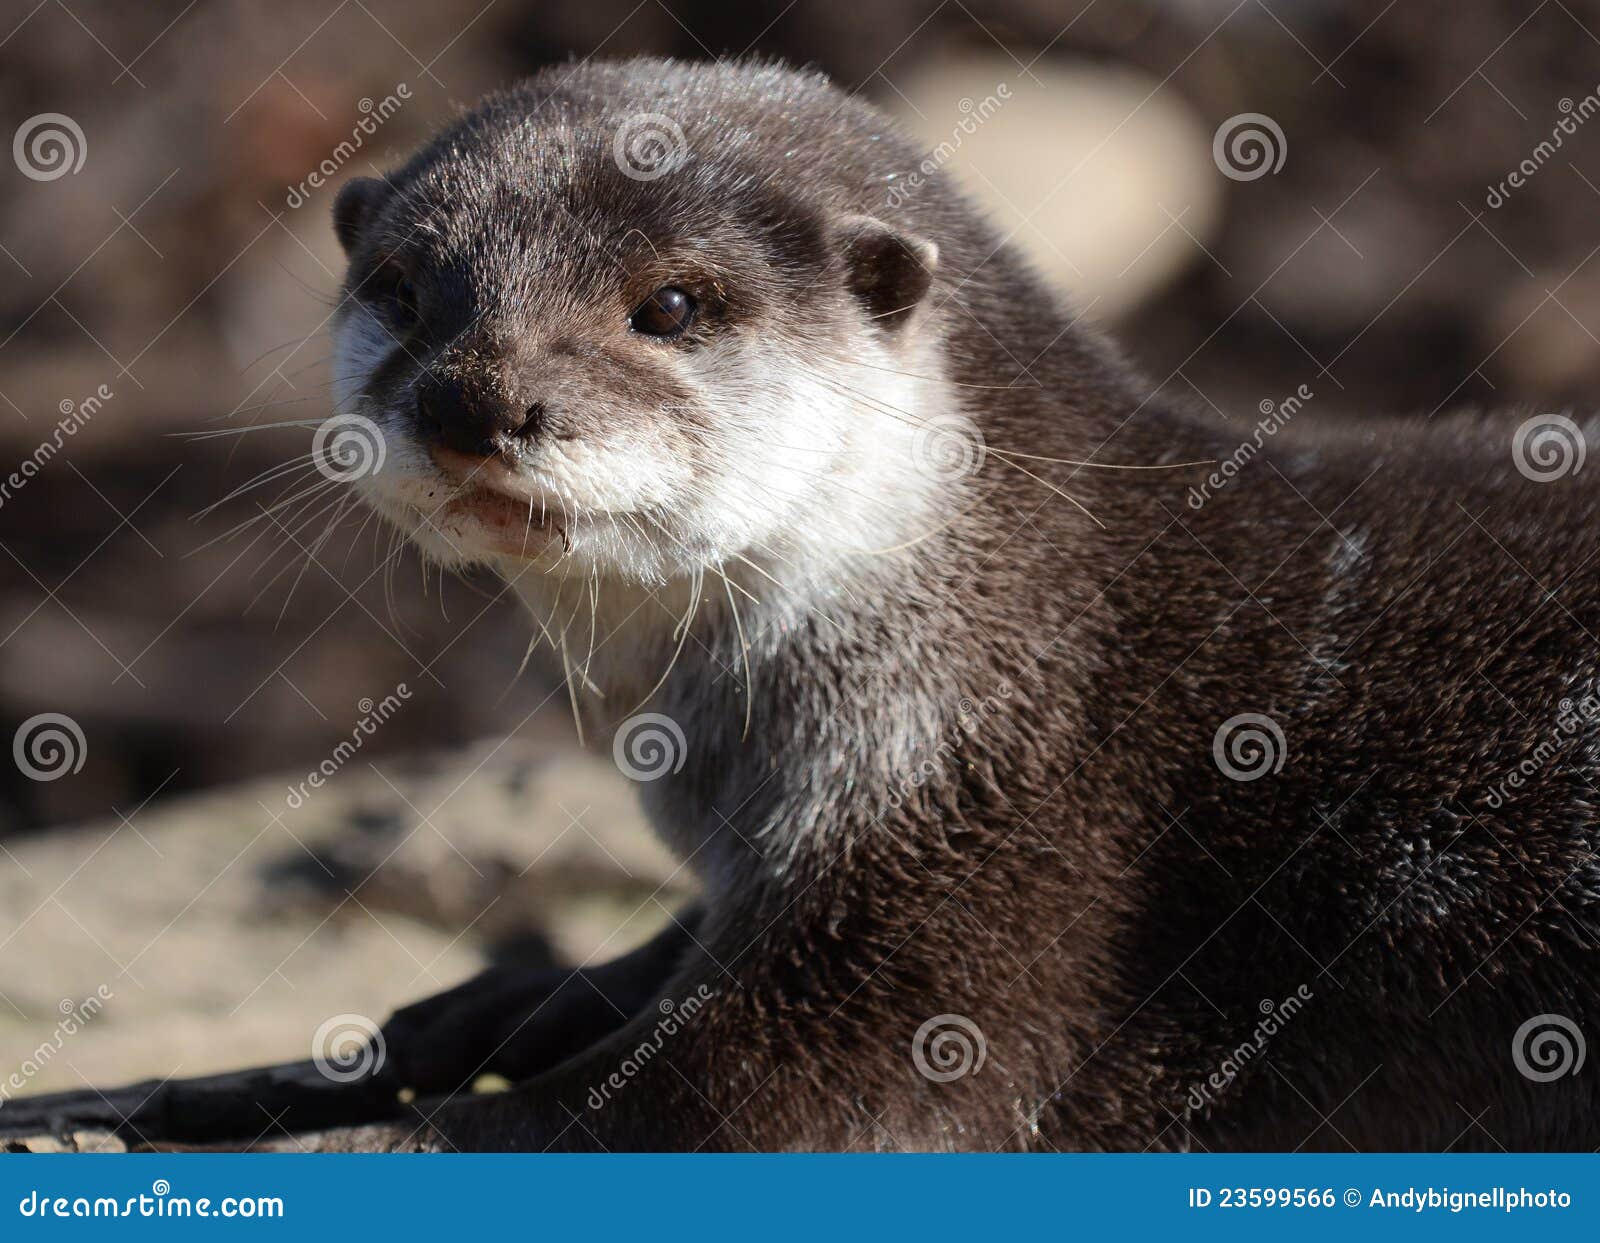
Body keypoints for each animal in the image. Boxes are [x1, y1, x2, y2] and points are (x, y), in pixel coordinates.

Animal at [13, 57, 1600, 1152]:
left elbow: (712, 1097)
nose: (474, 399)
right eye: (401, 289)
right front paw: (236, 1074)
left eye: (669, 305)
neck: (1001, 630)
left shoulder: (1003, 863)